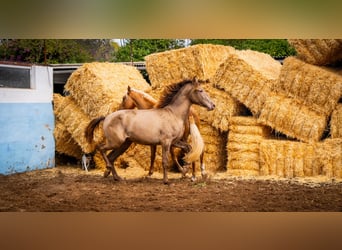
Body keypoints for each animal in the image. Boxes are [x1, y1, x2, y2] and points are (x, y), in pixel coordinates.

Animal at [85, 79, 214, 185]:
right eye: (200, 90)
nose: (213, 105)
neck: (173, 114)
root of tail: (107, 117)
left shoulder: (175, 142)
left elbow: (189, 148)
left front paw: (185, 169)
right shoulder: (166, 142)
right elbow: (165, 160)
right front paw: (166, 180)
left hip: (124, 144)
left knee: (111, 157)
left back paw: (117, 178)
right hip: (116, 142)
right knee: (101, 148)